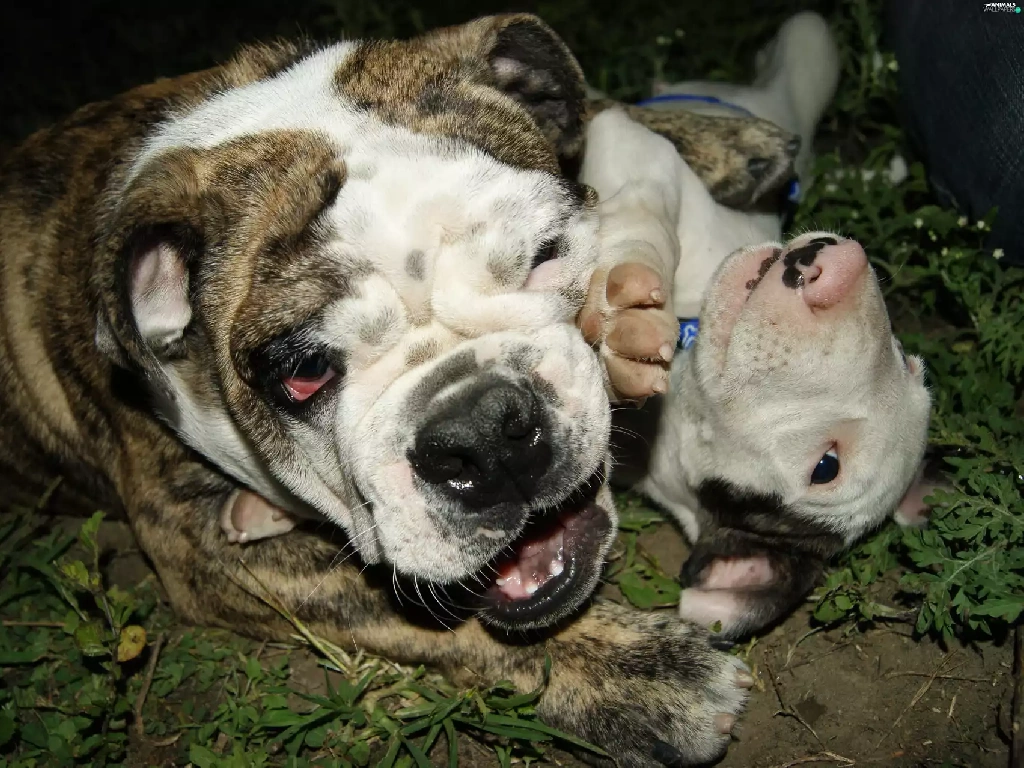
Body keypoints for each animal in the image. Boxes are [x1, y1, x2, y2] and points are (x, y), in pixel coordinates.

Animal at [0, 14, 804, 764]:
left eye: (545, 255)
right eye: (301, 375)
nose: (482, 432)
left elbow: (599, 102)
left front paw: (723, 139)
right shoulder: (197, 547)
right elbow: (409, 609)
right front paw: (641, 675)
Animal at [580, 12, 937, 638]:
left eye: (826, 468)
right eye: (907, 359)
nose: (840, 273)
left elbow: (640, 162)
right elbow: (653, 213)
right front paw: (629, 301)